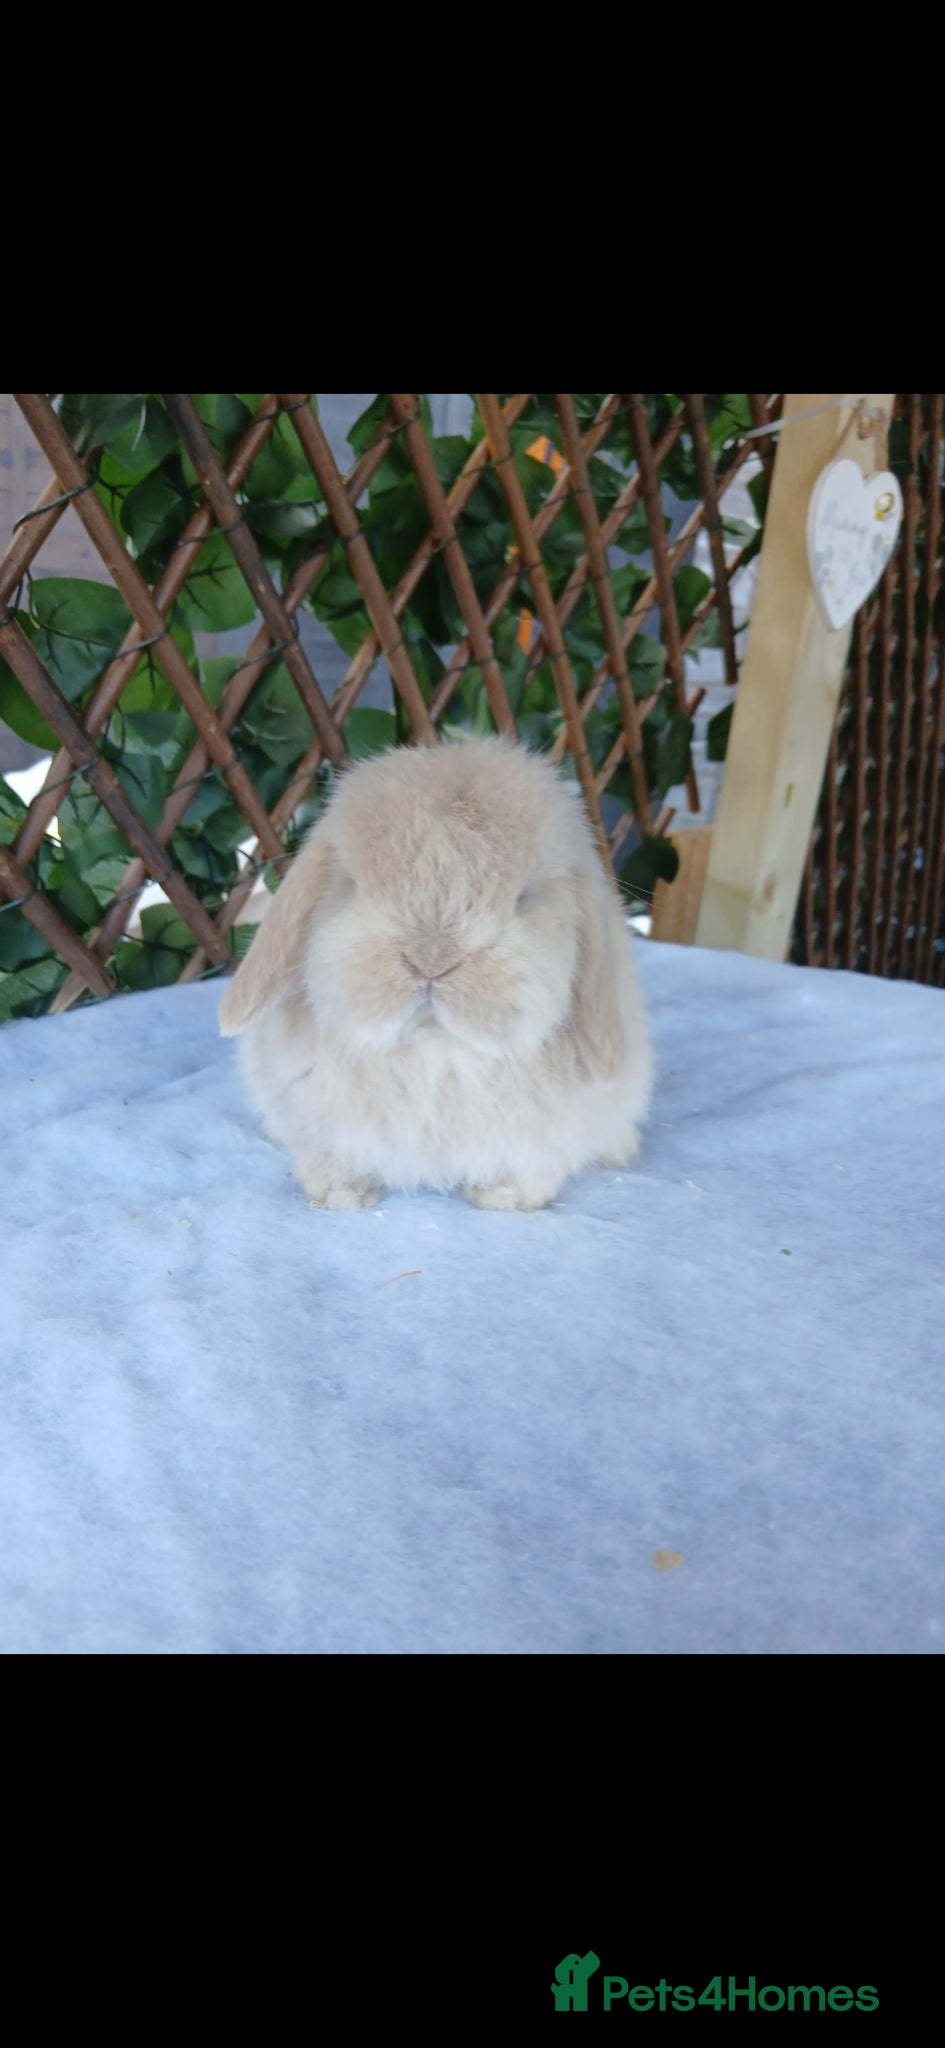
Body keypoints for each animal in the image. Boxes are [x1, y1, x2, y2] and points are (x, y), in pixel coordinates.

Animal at [218, 734, 653, 1210]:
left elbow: (530, 1169)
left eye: (525, 897)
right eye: (351, 885)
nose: (430, 959)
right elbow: (330, 1159)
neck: (434, 1051)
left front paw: (500, 1197)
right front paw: (342, 1195)